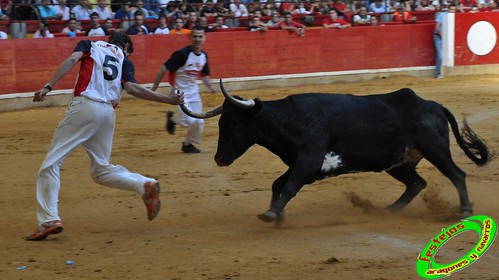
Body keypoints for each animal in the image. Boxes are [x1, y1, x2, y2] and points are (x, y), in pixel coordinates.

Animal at [179, 80, 488, 222]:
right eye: (221, 123)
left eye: (233, 124)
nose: (220, 159)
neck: (290, 119)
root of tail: (432, 105)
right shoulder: (301, 164)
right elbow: (278, 183)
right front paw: (275, 213)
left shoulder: (308, 161)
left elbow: (288, 186)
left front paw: (271, 214)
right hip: (399, 163)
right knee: (417, 183)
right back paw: (387, 211)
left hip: (436, 149)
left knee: (457, 175)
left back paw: (464, 211)